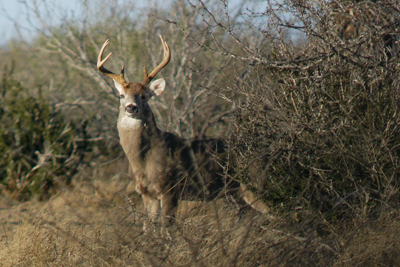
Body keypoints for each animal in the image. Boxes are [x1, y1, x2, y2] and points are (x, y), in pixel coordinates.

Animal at [97, 35, 268, 232]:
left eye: (144, 96)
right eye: (122, 96)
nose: (131, 108)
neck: (143, 161)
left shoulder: (170, 188)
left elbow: (166, 230)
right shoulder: (146, 194)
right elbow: (148, 229)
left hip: (255, 183)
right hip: (233, 193)